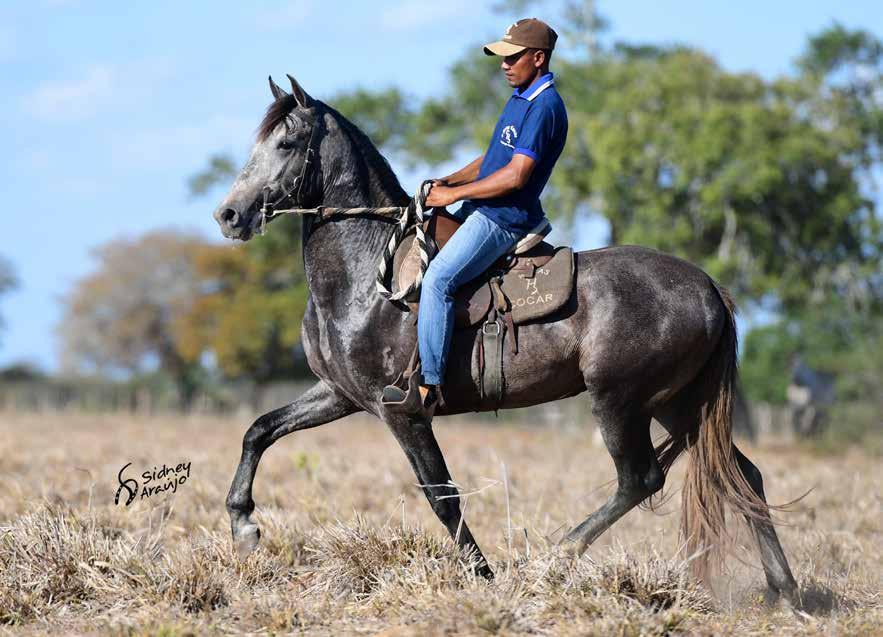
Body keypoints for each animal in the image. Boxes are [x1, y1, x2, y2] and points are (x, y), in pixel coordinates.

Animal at [212, 77, 800, 604]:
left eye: (286, 144)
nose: (229, 215)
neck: (367, 277)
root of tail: (708, 287)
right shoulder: (339, 394)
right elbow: (259, 430)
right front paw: (244, 528)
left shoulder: (402, 411)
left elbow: (442, 497)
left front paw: (484, 577)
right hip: (678, 404)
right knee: (740, 474)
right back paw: (785, 590)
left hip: (621, 401)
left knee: (641, 479)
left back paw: (556, 557)